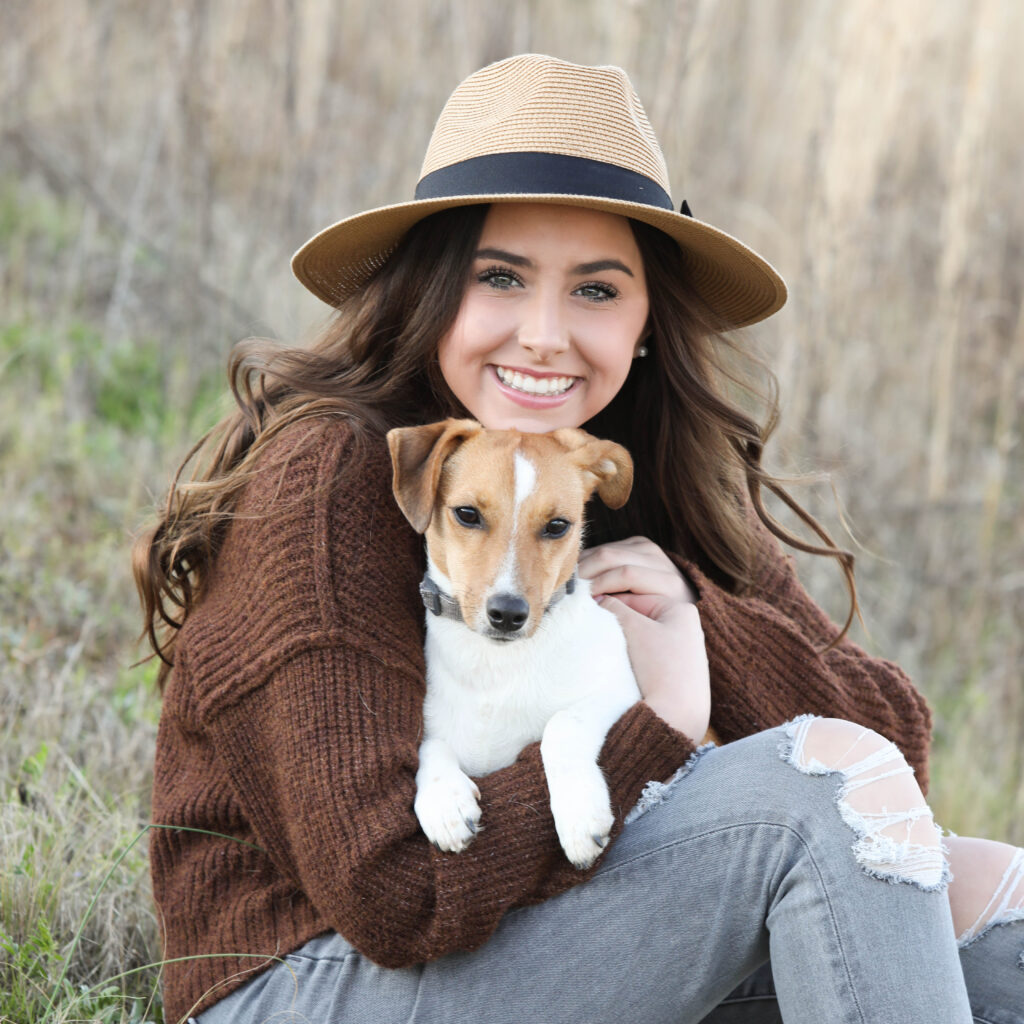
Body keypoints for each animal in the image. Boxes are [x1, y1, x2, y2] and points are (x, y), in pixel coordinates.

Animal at [387, 419, 643, 868]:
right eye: (467, 514)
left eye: (557, 525)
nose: (508, 614)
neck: (496, 665)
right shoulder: (435, 723)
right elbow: (428, 746)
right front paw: (443, 799)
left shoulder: (619, 689)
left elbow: (562, 726)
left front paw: (580, 815)